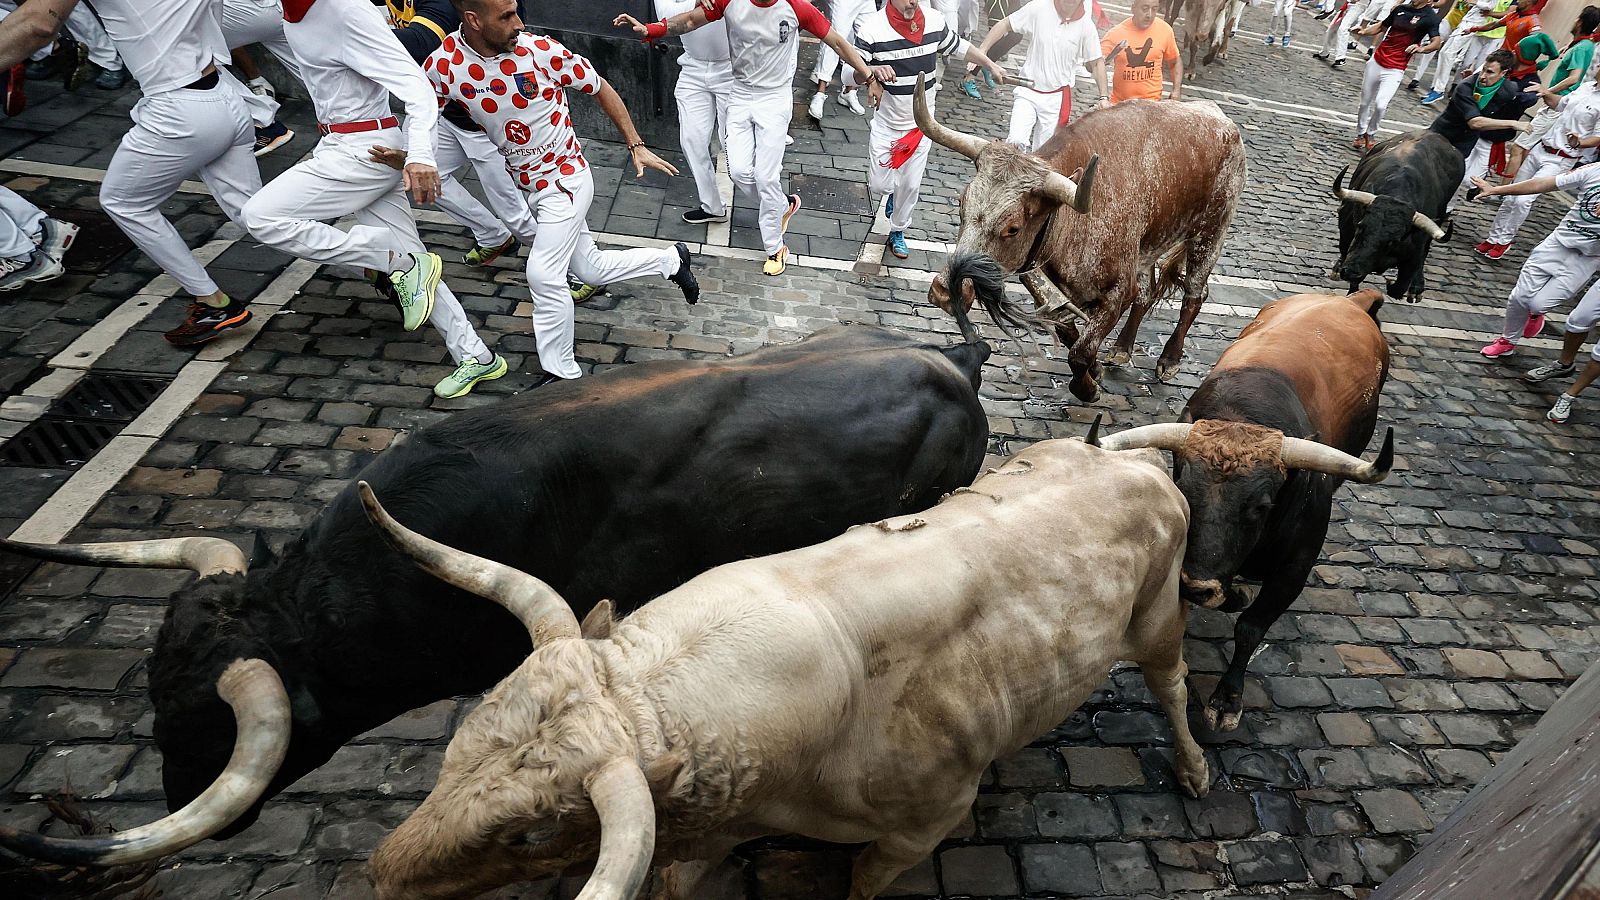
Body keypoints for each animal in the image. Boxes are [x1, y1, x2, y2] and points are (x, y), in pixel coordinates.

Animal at [363, 435, 1209, 896]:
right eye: (453, 751)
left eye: (528, 836)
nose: (380, 874)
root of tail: (1129, 459)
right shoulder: (708, 828)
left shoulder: (927, 825)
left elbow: (864, 882)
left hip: (1158, 616)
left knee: (1171, 682)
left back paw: (1196, 767)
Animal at [915, 82, 1248, 400]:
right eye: (961, 204)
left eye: (1013, 228)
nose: (944, 291)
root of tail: (1221, 119)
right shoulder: (1053, 294)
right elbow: (1070, 335)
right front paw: (1096, 369)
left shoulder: (1117, 292)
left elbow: (1081, 351)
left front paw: (1088, 388)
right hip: (1148, 247)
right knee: (1146, 294)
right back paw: (1122, 348)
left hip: (1210, 233)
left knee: (1194, 296)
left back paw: (1170, 359)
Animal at [1337, 128, 1465, 301]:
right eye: (1361, 227)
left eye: (1393, 241)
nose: (1350, 271)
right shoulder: (1347, 233)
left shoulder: (1414, 253)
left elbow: (1399, 287)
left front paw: (1393, 283)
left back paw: (1417, 287)